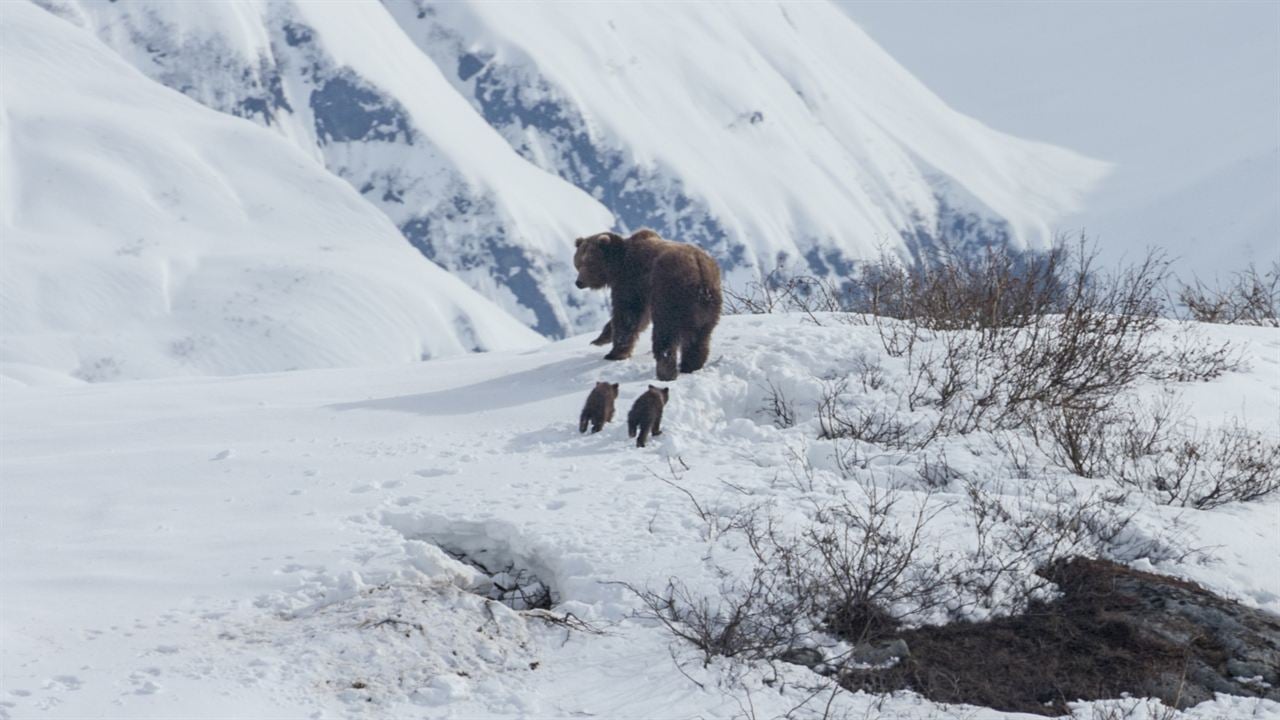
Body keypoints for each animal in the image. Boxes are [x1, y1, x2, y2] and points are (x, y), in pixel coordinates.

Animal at [573, 228, 721, 381]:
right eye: (578, 262)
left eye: (589, 262)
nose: (579, 282)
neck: (618, 265)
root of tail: (699, 270)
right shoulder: (644, 290)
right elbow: (639, 319)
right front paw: (599, 339)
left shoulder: (633, 280)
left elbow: (628, 314)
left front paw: (615, 353)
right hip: (706, 306)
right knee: (699, 337)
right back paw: (690, 366)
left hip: (671, 293)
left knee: (665, 331)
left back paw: (665, 372)